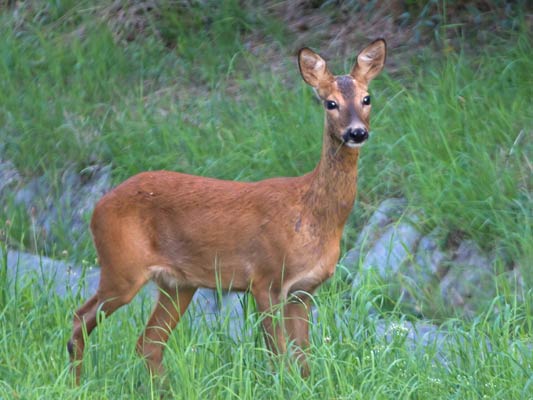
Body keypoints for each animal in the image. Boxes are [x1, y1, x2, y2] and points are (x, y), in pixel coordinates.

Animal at [67, 39, 386, 382]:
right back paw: (77, 384)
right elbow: (280, 358)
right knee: (80, 319)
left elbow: (303, 363)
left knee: (148, 343)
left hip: (178, 284)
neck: (312, 215)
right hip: (121, 267)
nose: (357, 132)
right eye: (330, 103)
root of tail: (98, 206)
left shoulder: (305, 290)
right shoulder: (265, 278)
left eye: (367, 98)